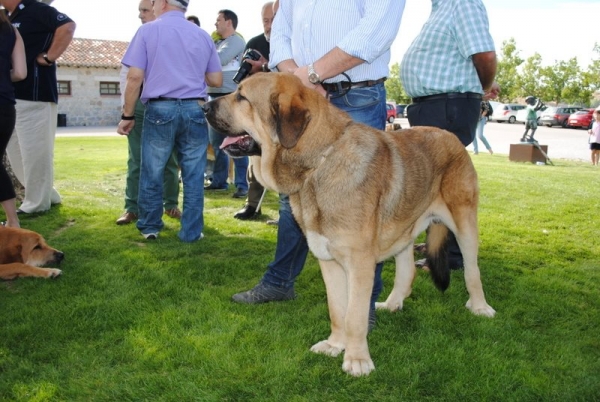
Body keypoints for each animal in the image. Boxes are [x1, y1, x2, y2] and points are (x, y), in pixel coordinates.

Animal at [204, 72, 494, 376]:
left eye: (242, 97)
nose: (204, 107)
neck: (317, 163)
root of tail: (450, 137)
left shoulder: (359, 264)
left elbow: (354, 315)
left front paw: (357, 359)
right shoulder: (329, 261)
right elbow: (337, 310)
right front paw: (335, 345)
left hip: (464, 223)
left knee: (472, 271)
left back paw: (480, 306)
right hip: (404, 229)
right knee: (407, 271)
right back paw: (393, 303)